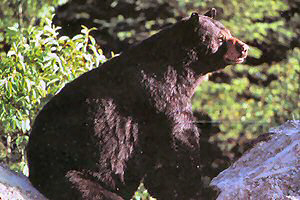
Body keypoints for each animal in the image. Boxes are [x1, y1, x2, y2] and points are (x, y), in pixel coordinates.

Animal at [27, 9, 248, 200]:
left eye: (229, 32)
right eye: (220, 38)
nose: (244, 48)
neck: (179, 69)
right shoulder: (159, 93)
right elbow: (179, 138)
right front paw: (202, 191)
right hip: (68, 171)